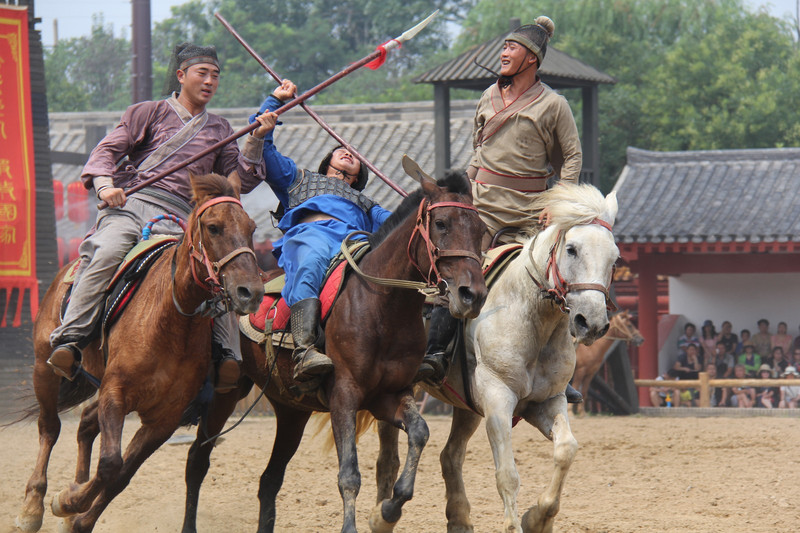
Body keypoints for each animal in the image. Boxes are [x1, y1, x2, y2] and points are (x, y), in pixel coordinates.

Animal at [15, 172, 264, 528]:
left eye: (251, 228)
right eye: (213, 227)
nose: (250, 292)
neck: (172, 324)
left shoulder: (164, 419)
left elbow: (120, 474)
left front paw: (75, 510)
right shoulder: (115, 391)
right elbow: (110, 463)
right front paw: (67, 501)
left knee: (85, 423)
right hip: (44, 366)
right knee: (50, 427)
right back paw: (32, 508)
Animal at [180, 170, 488, 532]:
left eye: (480, 229)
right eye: (441, 223)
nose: (472, 294)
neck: (382, 307)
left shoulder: (389, 395)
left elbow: (420, 433)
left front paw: (387, 510)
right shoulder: (345, 395)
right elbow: (349, 475)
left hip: (291, 410)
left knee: (269, 480)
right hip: (226, 392)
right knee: (197, 461)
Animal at [376, 183, 620, 532]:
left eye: (614, 259)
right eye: (572, 249)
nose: (593, 322)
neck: (532, 320)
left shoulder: (547, 401)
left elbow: (566, 450)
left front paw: (538, 517)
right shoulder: (498, 398)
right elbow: (507, 474)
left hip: (466, 406)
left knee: (450, 456)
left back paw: (459, 518)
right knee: (388, 458)